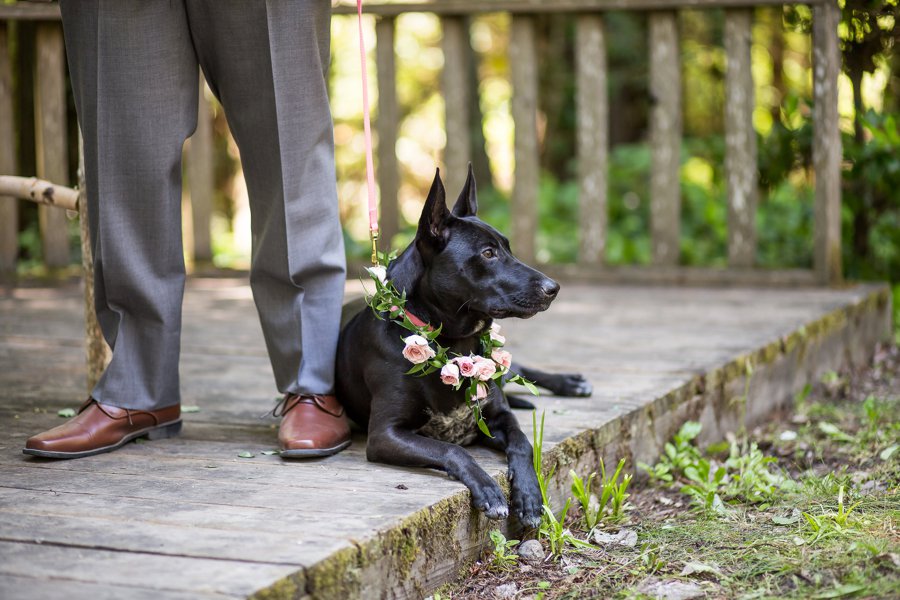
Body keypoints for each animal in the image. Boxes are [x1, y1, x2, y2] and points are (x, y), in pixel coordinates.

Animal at [336, 168, 592, 524]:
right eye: (488, 253)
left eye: (508, 248)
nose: (553, 288)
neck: (454, 343)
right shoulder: (385, 435)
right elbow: (451, 448)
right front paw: (487, 489)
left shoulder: (498, 415)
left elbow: (523, 443)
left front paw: (528, 496)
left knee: (519, 369)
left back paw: (570, 382)